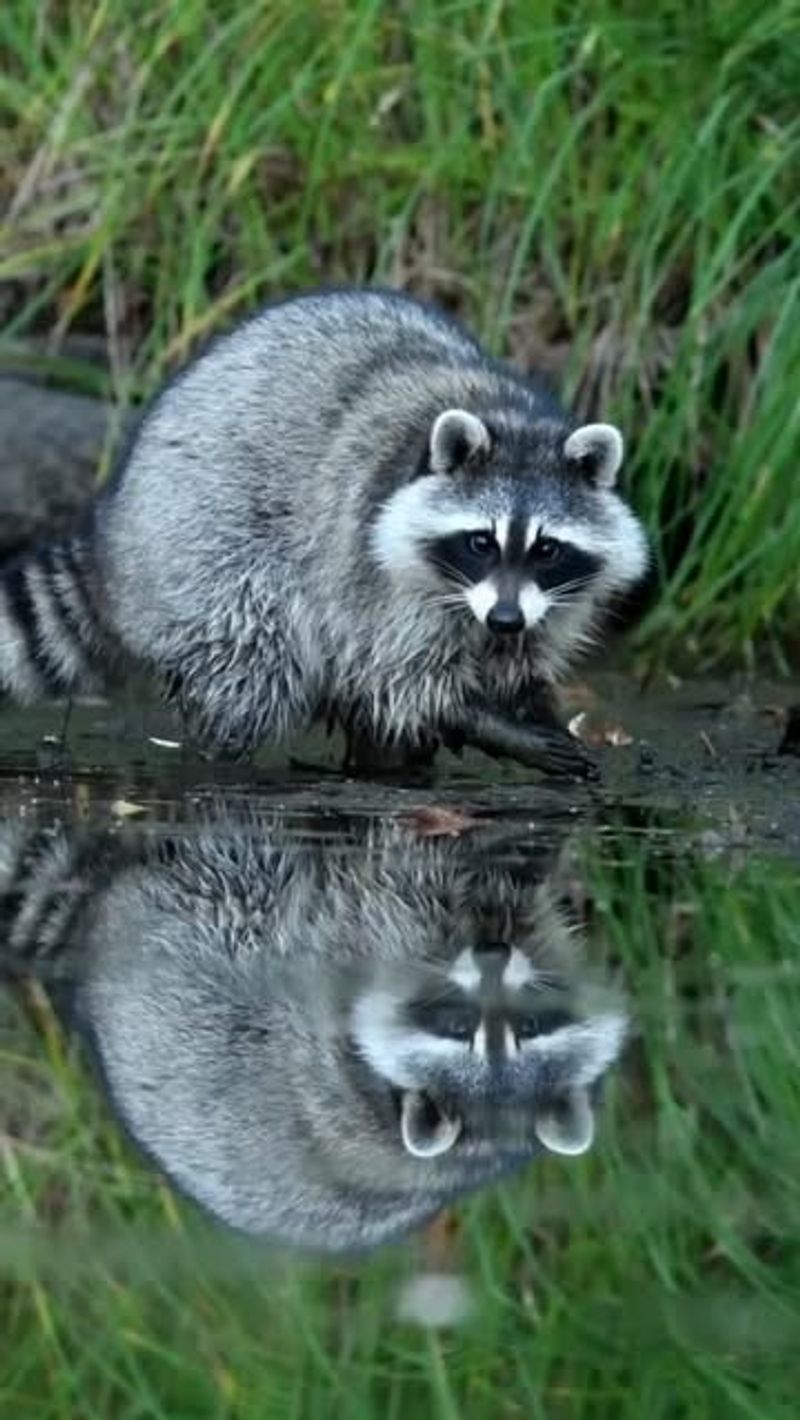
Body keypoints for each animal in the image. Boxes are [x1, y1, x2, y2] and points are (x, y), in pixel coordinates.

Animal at [0, 289, 649, 773]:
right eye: (480, 542)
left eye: (547, 549)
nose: (505, 619)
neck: (513, 418)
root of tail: (114, 531)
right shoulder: (374, 571)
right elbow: (397, 676)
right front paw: (485, 721)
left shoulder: (553, 600)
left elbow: (524, 655)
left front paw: (527, 703)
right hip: (206, 544)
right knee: (257, 657)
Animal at [0, 809, 627, 1254]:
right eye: (458, 1025)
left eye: (526, 1026)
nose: (493, 956)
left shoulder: (357, 944)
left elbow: (400, 880)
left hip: (195, 925)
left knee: (241, 872)